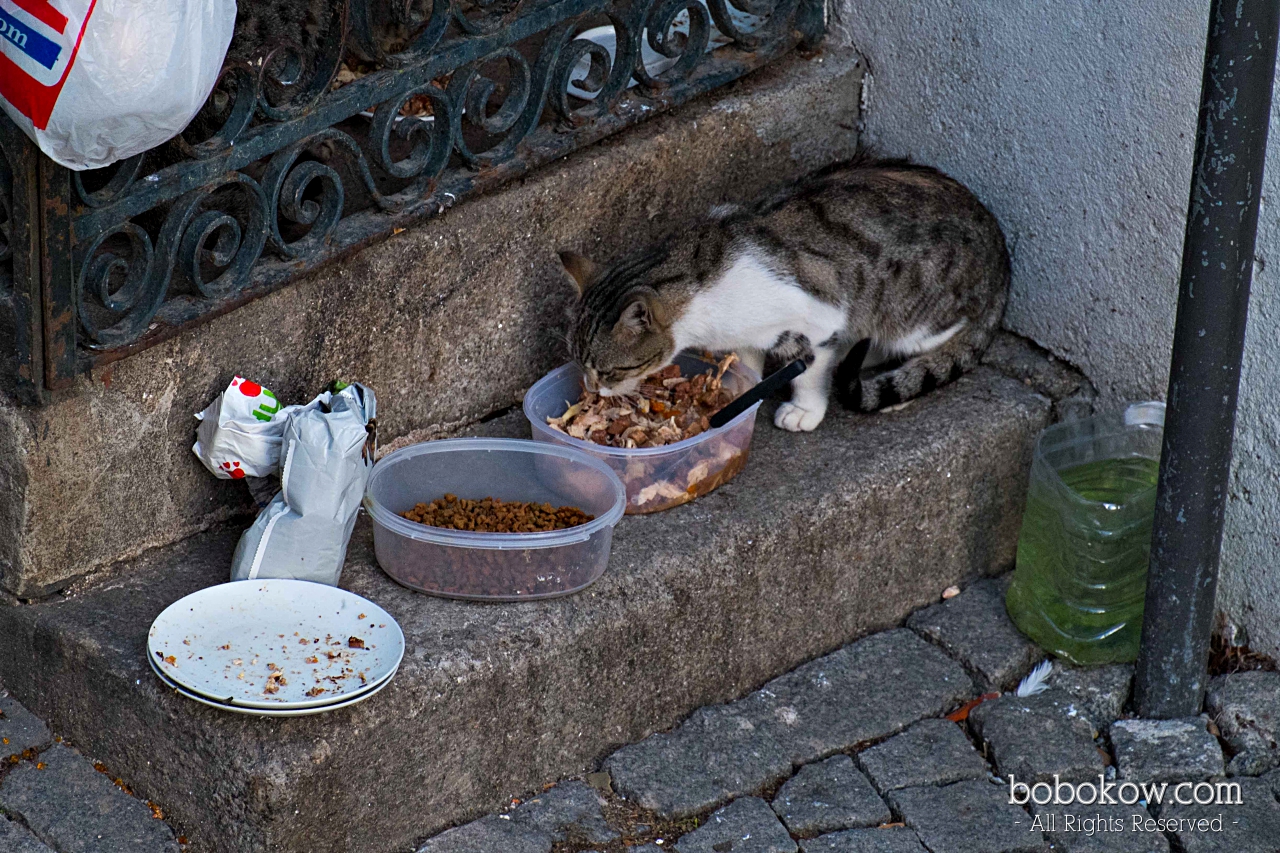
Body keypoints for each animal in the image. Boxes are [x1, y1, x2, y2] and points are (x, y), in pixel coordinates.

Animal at [560, 153, 1008, 427]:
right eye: (580, 364)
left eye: (609, 371)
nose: (592, 389)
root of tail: (1003, 254)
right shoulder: (746, 336)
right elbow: (748, 367)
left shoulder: (821, 317)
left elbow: (810, 371)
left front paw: (804, 410)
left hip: (915, 318)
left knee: (930, 343)